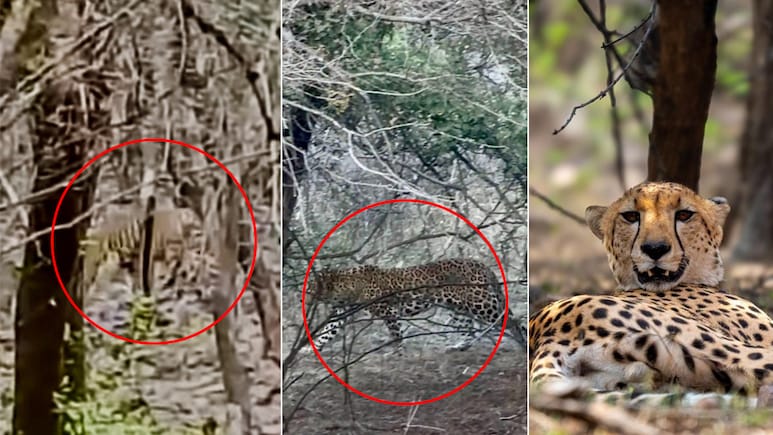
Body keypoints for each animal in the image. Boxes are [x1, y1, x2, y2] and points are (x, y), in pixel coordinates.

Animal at [306, 258, 527, 352]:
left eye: (309, 288)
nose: (303, 299)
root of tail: (482, 265)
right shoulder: (341, 313)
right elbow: (327, 331)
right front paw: (311, 348)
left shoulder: (388, 310)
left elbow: (396, 333)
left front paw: (398, 351)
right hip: (459, 307)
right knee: (469, 329)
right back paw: (459, 346)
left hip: (481, 303)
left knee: (511, 320)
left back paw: (522, 343)